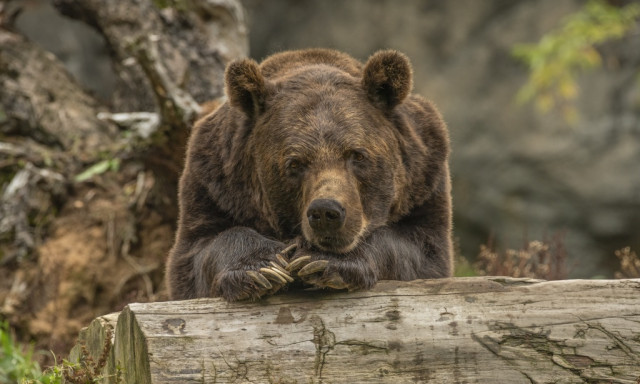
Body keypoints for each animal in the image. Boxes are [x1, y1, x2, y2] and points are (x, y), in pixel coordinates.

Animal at [166, 48, 456, 302]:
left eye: (357, 155)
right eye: (295, 163)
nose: (326, 212)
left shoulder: (424, 180)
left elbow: (420, 250)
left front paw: (322, 261)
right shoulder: (214, 183)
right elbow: (198, 252)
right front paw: (263, 268)